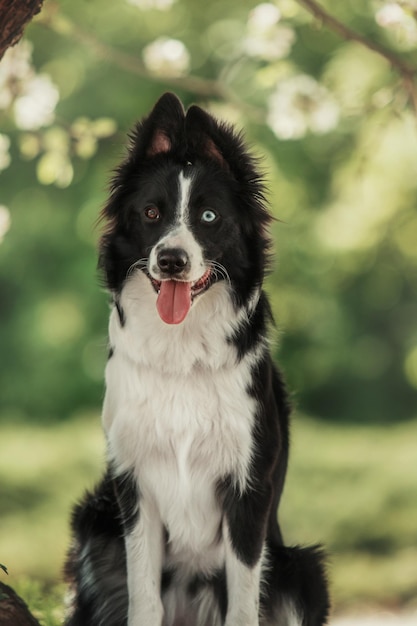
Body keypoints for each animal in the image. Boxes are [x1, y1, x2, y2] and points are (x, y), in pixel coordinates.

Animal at [64, 92, 328, 624]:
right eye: (150, 213)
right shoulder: (134, 485)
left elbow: (244, 601)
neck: (181, 350)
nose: (172, 260)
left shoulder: (248, 488)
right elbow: (143, 597)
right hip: (95, 523)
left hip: (301, 568)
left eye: (208, 218)